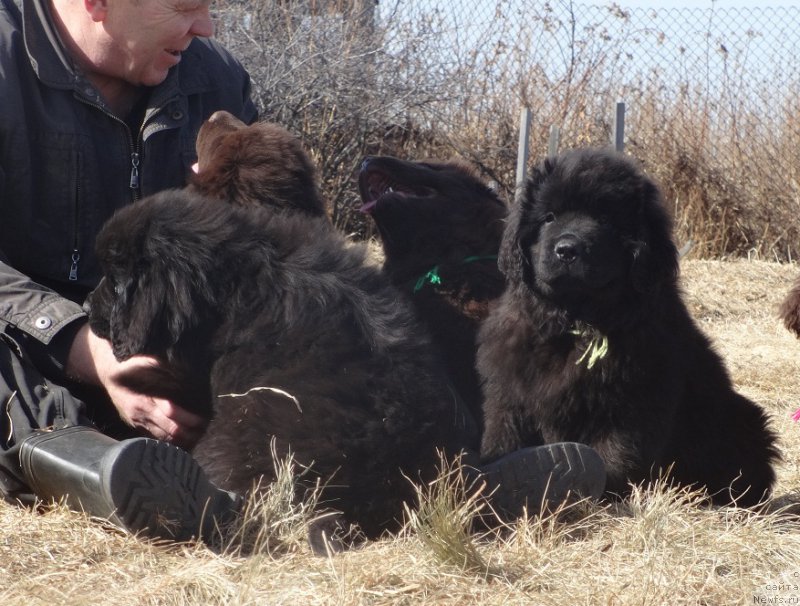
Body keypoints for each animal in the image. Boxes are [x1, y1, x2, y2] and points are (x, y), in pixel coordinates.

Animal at [478, 148, 780, 508]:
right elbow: (504, 436)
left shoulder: (632, 402)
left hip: (741, 419)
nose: (567, 250)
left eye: (606, 221)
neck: (576, 322)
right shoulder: (511, 391)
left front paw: (599, 492)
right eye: (549, 217)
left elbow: (616, 454)